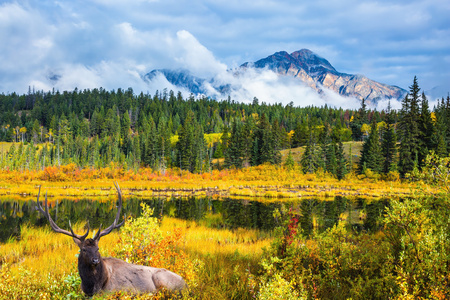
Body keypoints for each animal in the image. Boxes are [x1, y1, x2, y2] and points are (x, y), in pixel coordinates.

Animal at [34, 182, 186, 296]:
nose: (95, 260)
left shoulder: (123, 291)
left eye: (98, 248)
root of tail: (186, 284)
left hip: (163, 281)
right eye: (84, 249)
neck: (94, 286)